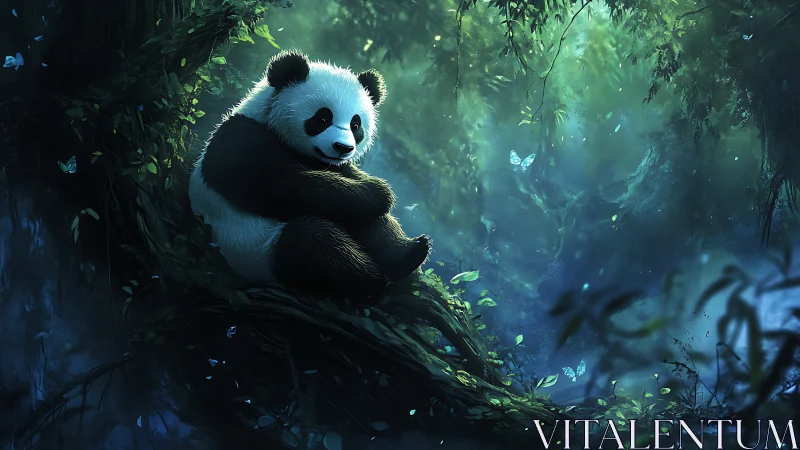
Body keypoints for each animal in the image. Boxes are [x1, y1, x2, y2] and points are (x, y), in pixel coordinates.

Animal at [188, 49, 432, 297]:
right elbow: (283, 185)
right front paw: (380, 192)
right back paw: (374, 280)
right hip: (259, 254)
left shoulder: (330, 164)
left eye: (355, 124)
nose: (343, 148)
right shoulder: (240, 141)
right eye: (323, 118)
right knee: (313, 241)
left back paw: (408, 254)